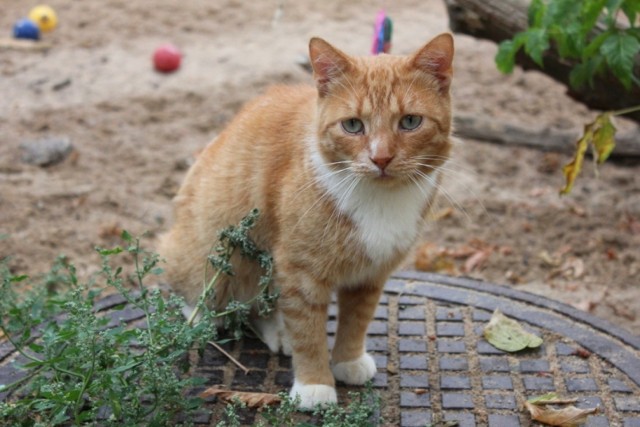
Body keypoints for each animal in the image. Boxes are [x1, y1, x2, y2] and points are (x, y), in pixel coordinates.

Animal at [158, 33, 452, 408]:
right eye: (353, 125)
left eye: (410, 122)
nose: (381, 158)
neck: (380, 198)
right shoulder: (300, 272)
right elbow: (308, 330)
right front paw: (315, 385)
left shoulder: (371, 274)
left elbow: (357, 320)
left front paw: (348, 360)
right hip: (216, 259)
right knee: (202, 292)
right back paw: (204, 320)